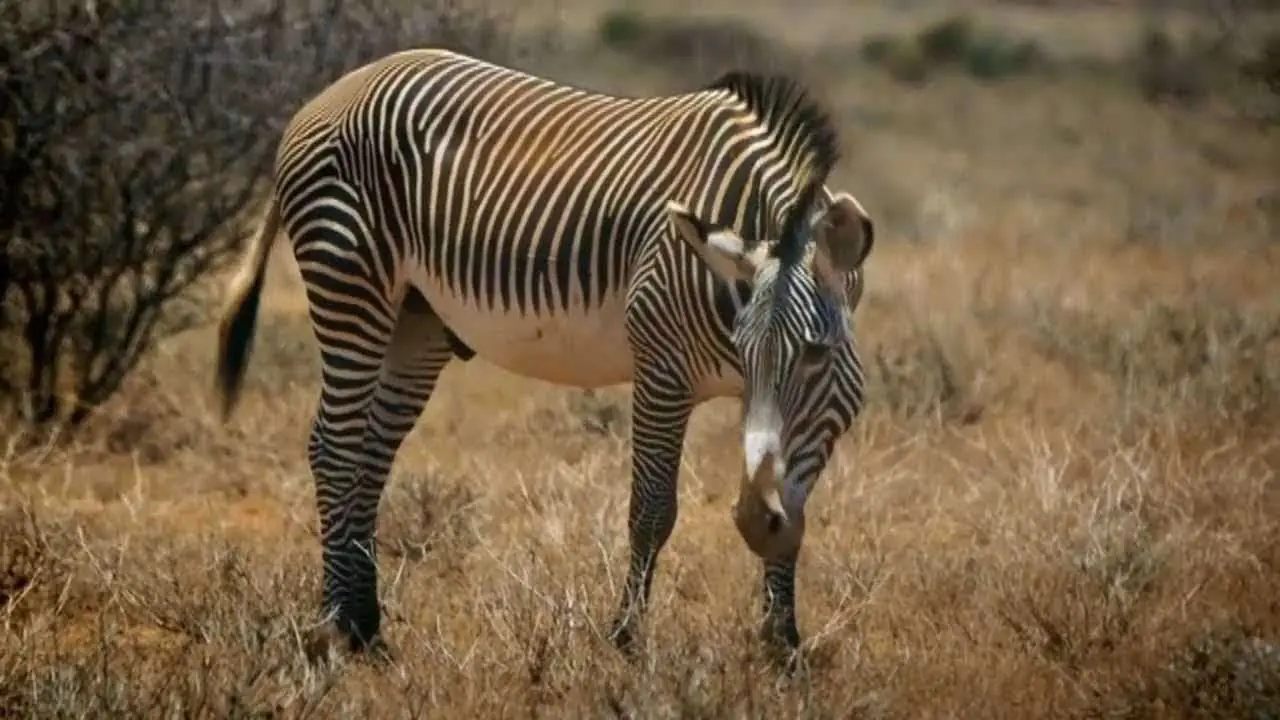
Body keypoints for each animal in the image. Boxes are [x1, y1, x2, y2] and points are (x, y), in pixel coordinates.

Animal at [214, 48, 874, 662]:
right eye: (745, 349)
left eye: (816, 354)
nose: (755, 524)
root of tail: (329, 93)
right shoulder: (661, 366)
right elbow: (652, 510)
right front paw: (625, 640)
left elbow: (793, 504)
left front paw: (783, 644)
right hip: (349, 280)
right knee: (335, 445)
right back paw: (334, 626)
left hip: (416, 320)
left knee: (371, 456)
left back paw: (366, 629)